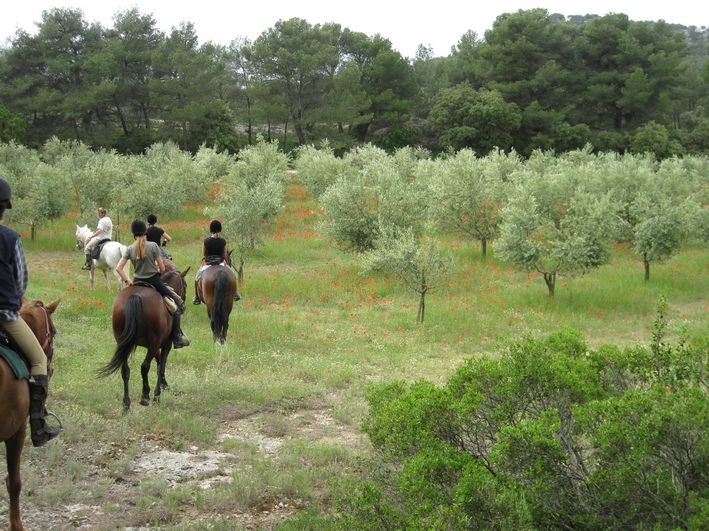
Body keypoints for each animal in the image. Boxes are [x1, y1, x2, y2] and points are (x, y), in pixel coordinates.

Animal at [98, 266, 191, 412]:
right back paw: (145, 396)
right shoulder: (165, 344)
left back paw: (126, 404)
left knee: (125, 370)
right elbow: (161, 366)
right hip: (153, 344)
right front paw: (158, 395)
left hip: (124, 343)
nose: (182, 305)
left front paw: (164, 385)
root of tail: (135, 297)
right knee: (145, 366)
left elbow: (159, 364)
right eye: (185, 285)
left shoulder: (156, 346)